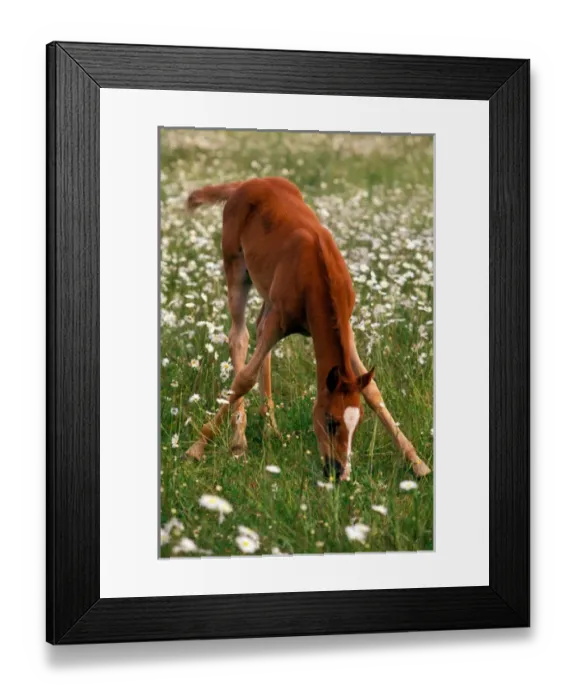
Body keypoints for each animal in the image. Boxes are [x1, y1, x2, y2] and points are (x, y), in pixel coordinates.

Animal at [184, 177, 430, 481]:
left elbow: (373, 391)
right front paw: (197, 447)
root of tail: (247, 182)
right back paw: (239, 439)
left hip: (267, 293)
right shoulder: (279, 320)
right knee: (239, 337)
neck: (317, 273)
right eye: (331, 421)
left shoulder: (346, 330)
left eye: (357, 423)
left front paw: (416, 461)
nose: (339, 472)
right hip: (235, 268)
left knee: (258, 331)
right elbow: (244, 379)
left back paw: (271, 428)